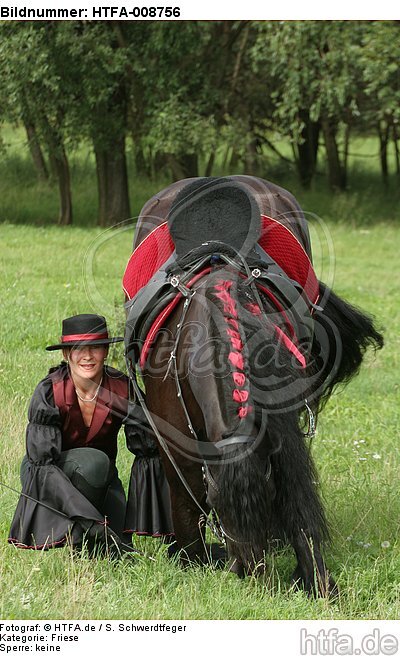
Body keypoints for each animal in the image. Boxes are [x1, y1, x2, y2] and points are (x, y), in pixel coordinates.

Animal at [123, 176, 383, 596]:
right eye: (225, 512)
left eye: (260, 504)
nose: (252, 576)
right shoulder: (171, 427)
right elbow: (185, 492)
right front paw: (189, 558)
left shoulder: (282, 429)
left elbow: (295, 491)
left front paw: (317, 578)